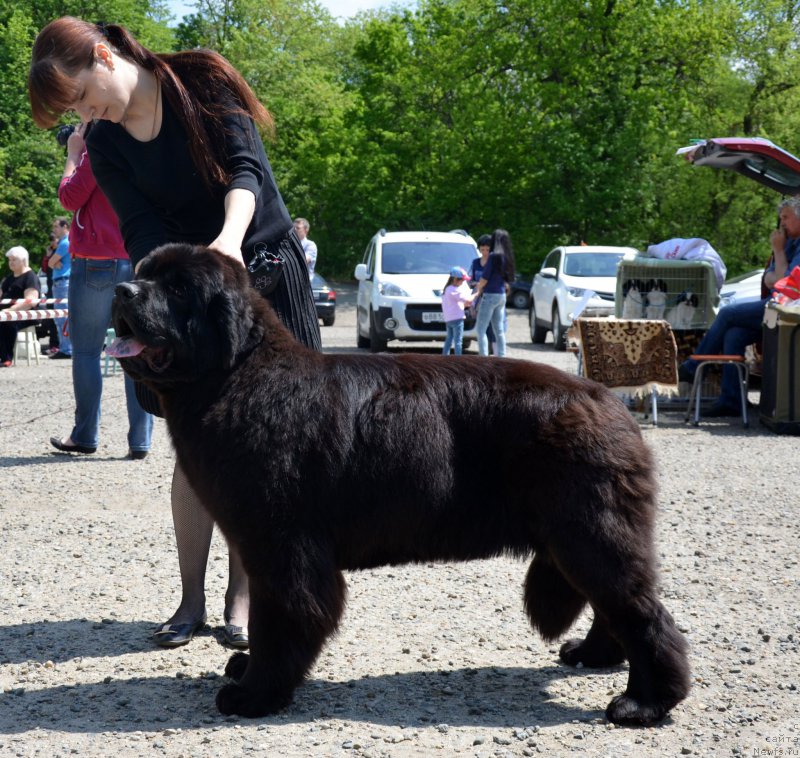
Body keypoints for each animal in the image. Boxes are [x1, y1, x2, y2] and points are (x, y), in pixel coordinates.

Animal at [109, 246, 692, 728]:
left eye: (178, 289)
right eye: (144, 273)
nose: (121, 290)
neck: (237, 379)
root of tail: (610, 401)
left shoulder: (283, 547)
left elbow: (282, 619)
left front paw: (255, 693)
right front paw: (246, 668)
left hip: (588, 533)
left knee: (643, 614)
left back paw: (644, 703)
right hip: (578, 540)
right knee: (615, 606)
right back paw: (594, 656)